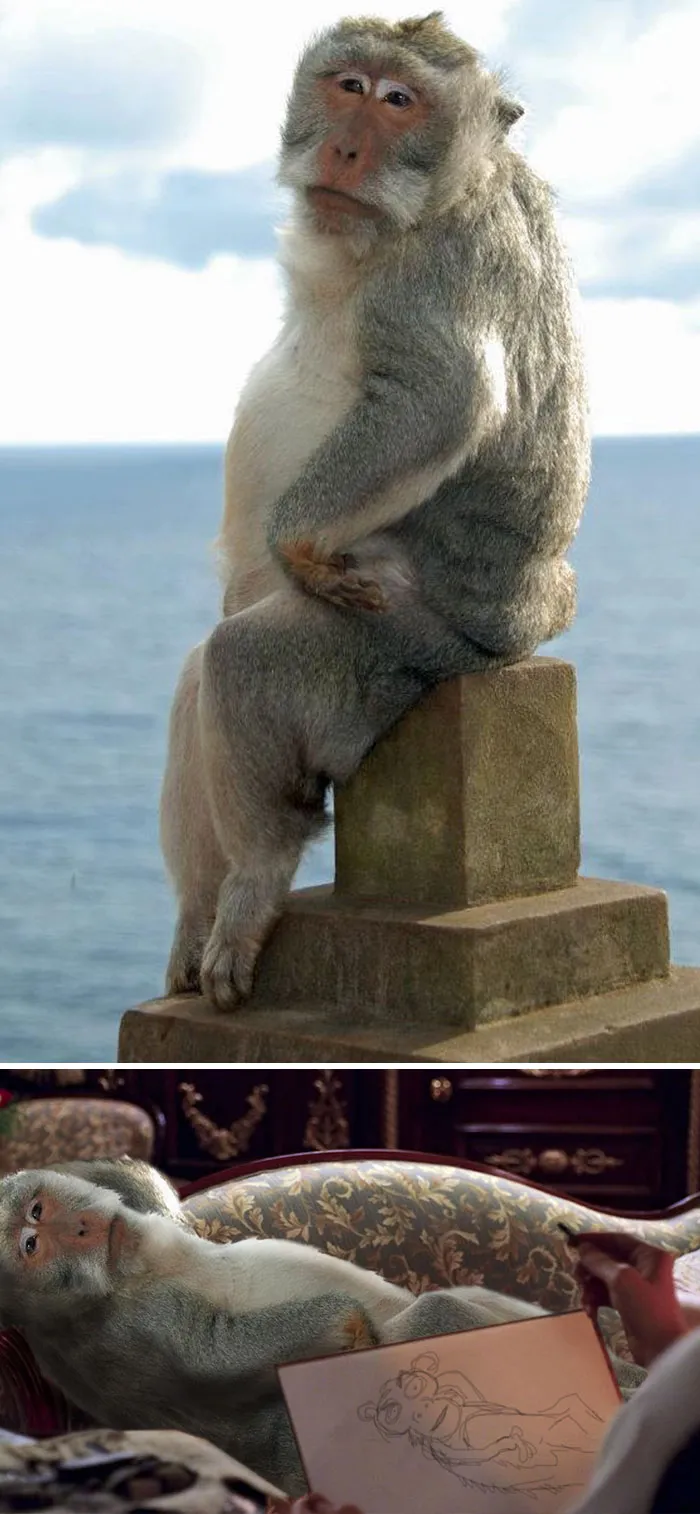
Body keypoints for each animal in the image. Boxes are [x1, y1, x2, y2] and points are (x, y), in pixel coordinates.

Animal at [160, 11, 590, 1010]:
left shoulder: (441, 264)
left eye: (401, 101)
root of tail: (525, 632)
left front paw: (295, 539)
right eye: (349, 86)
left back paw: (255, 881)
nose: (348, 147)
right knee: (202, 672)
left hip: (401, 643)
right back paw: (199, 915)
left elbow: (439, 397)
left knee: (240, 663)